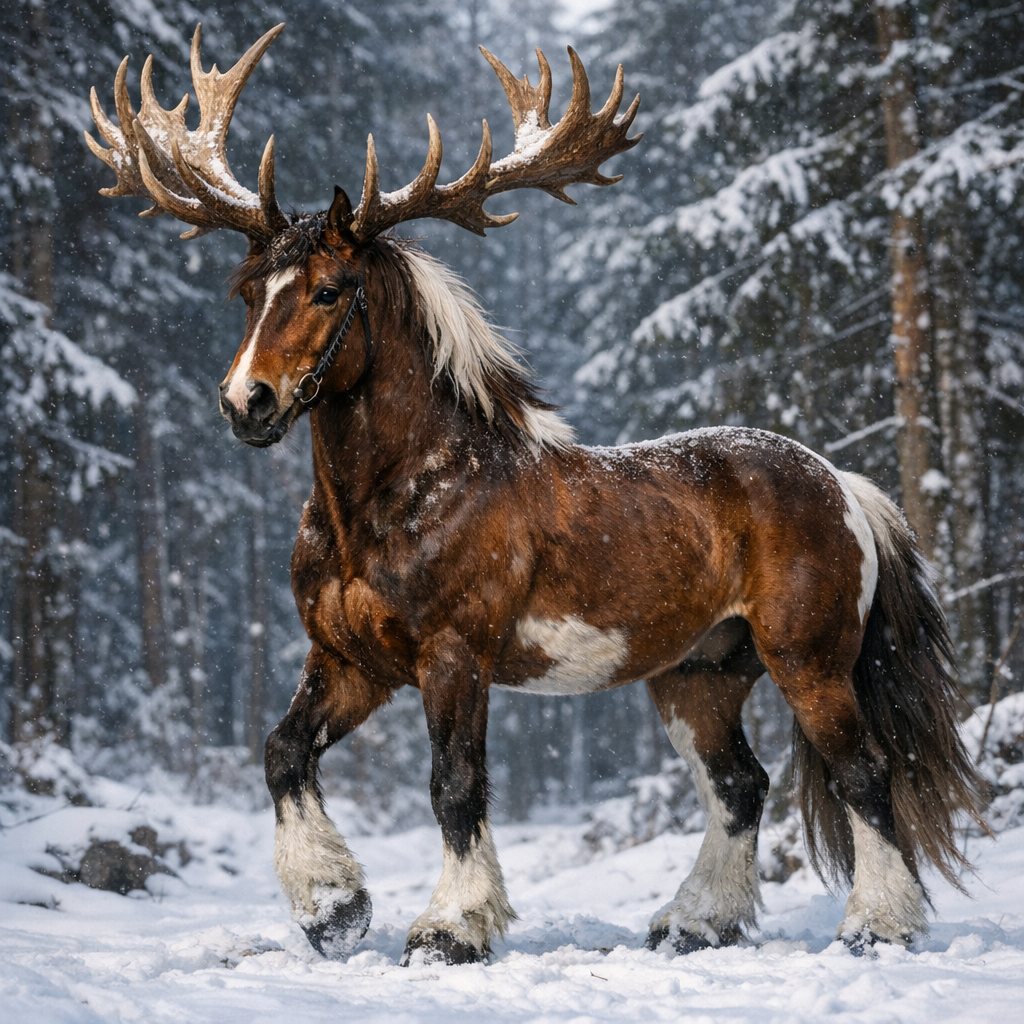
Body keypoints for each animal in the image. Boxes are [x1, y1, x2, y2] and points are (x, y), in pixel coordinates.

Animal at [85, 24, 985, 965]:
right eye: (247, 292)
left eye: (330, 291)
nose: (246, 404)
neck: (393, 504)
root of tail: (841, 483)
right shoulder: (349, 661)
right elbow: (282, 752)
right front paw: (333, 907)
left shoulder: (454, 657)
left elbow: (454, 785)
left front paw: (450, 928)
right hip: (699, 674)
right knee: (740, 784)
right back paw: (694, 921)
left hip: (809, 658)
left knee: (864, 772)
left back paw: (876, 926)